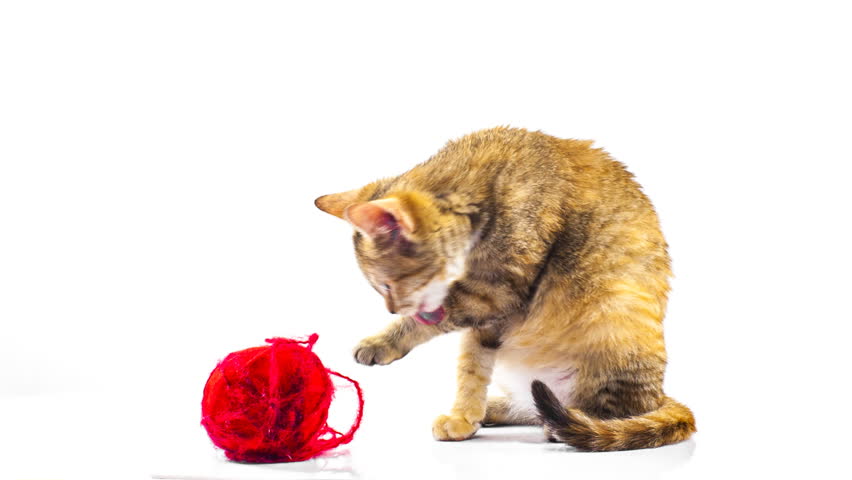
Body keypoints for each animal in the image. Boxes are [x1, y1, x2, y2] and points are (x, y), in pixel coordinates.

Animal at [312, 126, 692, 450]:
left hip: (612, 312)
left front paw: (386, 339)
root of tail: (658, 395)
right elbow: (471, 365)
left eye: (386, 285)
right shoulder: (487, 316)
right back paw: (498, 410)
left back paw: (565, 424)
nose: (391, 308)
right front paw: (464, 416)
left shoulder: (495, 295)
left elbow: (444, 338)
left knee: (607, 413)